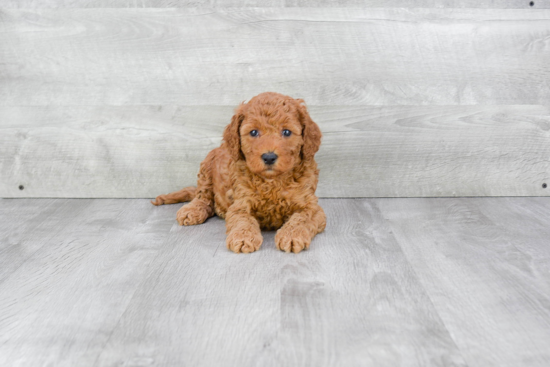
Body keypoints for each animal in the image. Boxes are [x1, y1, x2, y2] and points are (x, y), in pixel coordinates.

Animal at [151, 92, 328, 253]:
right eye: (254, 132)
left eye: (286, 132)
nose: (269, 157)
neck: (271, 182)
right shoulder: (240, 203)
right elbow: (243, 219)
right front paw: (243, 237)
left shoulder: (311, 206)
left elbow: (301, 218)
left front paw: (292, 235)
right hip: (207, 165)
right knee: (203, 196)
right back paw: (193, 210)